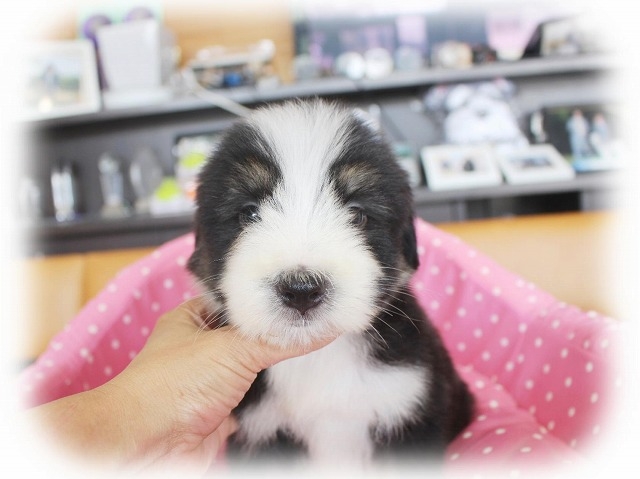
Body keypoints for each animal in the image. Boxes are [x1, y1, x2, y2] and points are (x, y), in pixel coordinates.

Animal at [188, 100, 474, 469]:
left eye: (357, 214)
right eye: (248, 213)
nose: (301, 289)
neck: (318, 358)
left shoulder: (407, 405)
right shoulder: (263, 430)